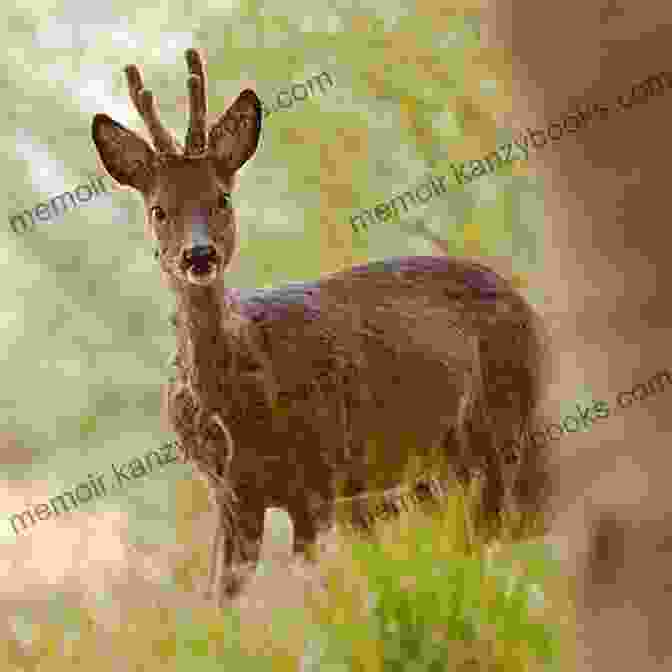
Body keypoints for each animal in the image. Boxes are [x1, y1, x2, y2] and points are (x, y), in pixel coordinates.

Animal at [92, 47, 548, 604]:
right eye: (159, 210)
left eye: (222, 198)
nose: (198, 255)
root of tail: (524, 301)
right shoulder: (231, 495)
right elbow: (220, 599)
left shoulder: (317, 475)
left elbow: (311, 589)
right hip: (440, 464)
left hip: (504, 422)